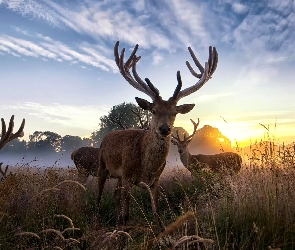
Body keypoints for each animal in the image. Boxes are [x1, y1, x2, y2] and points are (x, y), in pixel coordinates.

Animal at [96, 40, 217, 227]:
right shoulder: (127, 175)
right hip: (102, 165)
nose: (164, 129)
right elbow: (127, 214)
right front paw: (124, 229)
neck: (146, 167)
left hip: (118, 177)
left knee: (115, 195)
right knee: (99, 196)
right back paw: (98, 220)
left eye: (175, 113)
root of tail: (106, 137)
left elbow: (157, 213)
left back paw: (115, 222)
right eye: (153, 110)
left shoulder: (155, 181)